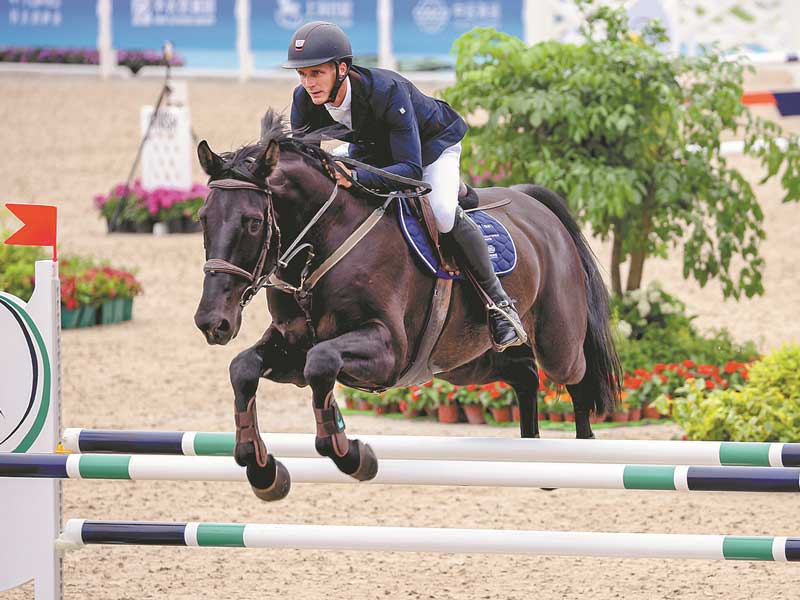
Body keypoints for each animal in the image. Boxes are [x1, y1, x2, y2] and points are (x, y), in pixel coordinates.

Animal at [194, 111, 621, 501]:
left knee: (577, 377)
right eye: (203, 218)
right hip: (463, 363)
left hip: (556, 343)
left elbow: (322, 363)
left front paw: (354, 456)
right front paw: (263, 470)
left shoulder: (387, 351)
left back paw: (580, 456)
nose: (212, 322)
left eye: (252, 222)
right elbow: (244, 369)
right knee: (525, 375)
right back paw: (537, 456)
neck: (321, 242)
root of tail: (534, 203)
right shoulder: (292, 348)